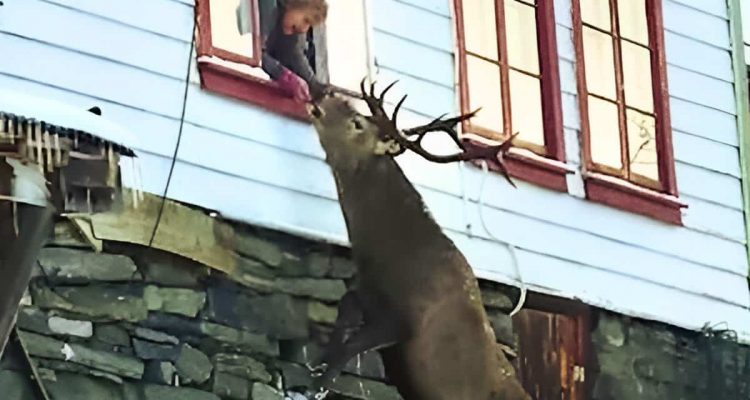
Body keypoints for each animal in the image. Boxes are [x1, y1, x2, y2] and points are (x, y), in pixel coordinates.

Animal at [304, 82, 528, 400]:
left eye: (357, 123)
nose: (322, 95)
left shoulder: (405, 323)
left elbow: (353, 344)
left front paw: (320, 383)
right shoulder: (370, 294)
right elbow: (347, 304)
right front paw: (320, 361)